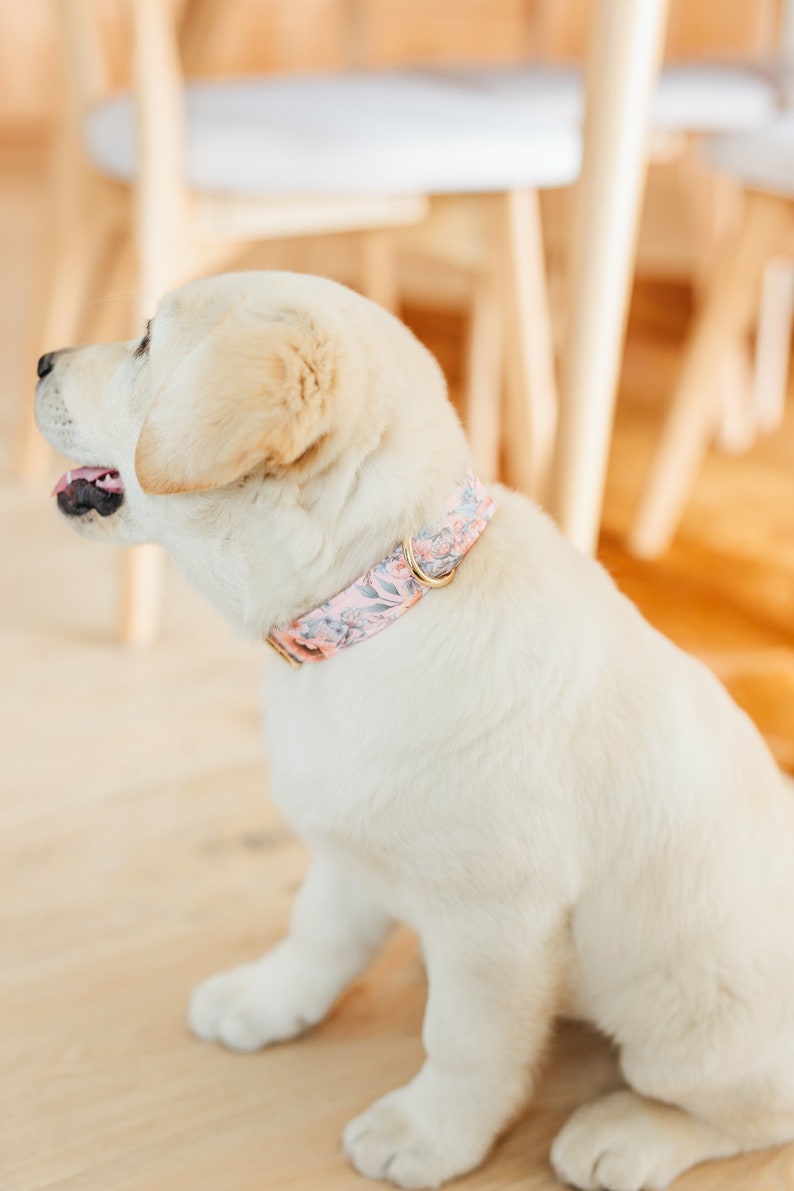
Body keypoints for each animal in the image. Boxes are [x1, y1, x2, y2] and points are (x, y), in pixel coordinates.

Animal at [35, 272, 794, 1191]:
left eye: (146, 342)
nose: (39, 359)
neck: (379, 601)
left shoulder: (497, 924)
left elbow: (465, 1043)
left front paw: (428, 1133)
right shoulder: (346, 842)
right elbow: (317, 933)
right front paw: (263, 1000)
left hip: (690, 1021)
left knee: (751, 1109)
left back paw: (626, 1134)